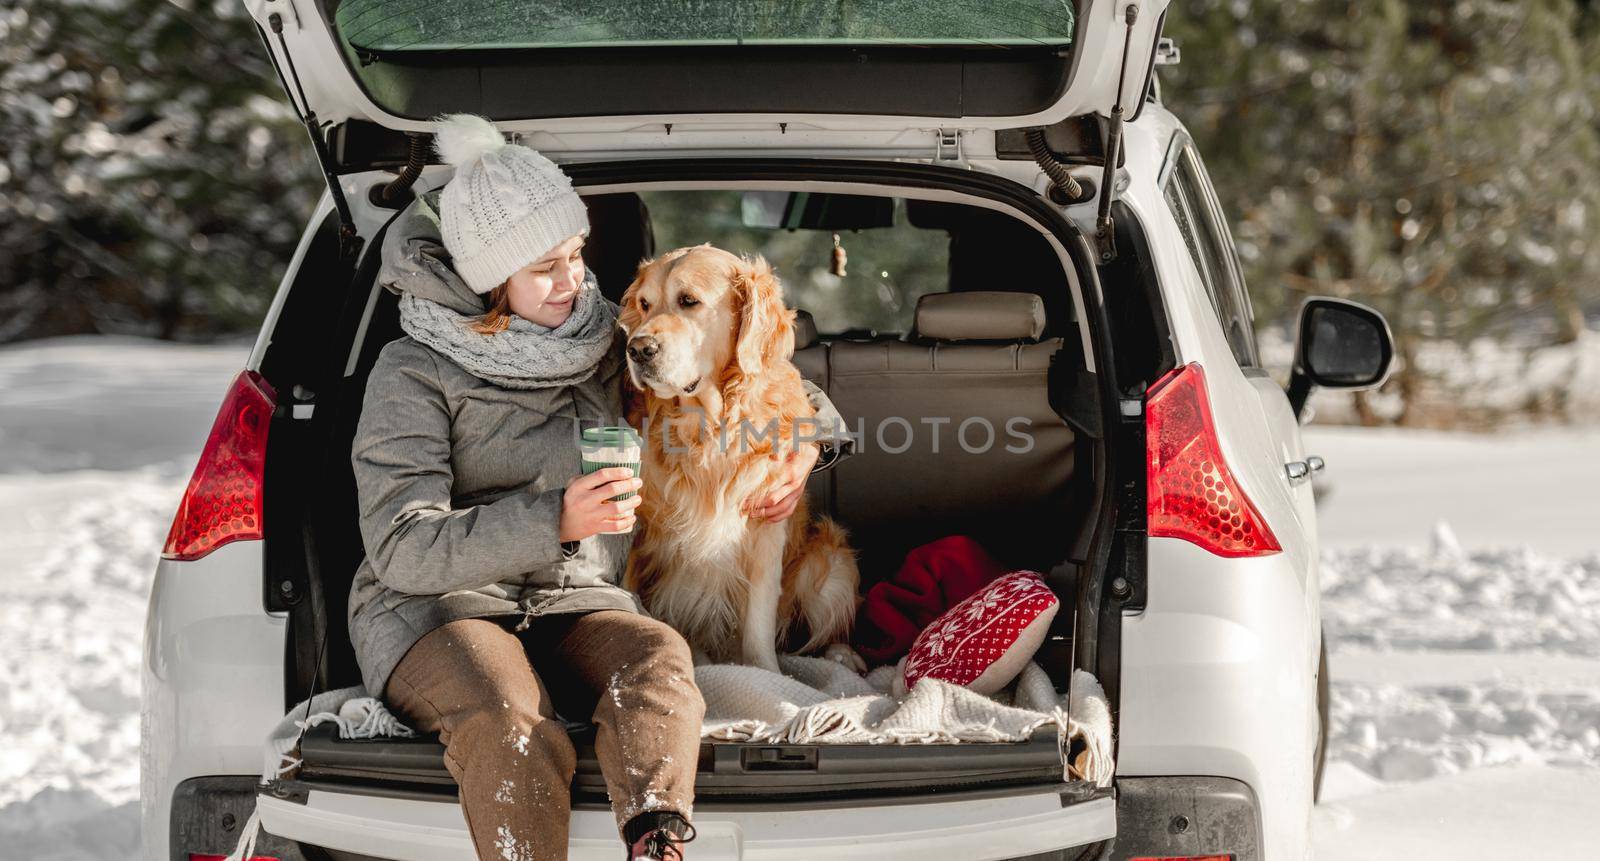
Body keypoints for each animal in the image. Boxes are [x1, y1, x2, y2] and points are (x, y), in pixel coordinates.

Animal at [617, 241, 864, 668]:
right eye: (645, 304)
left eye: (689, 301)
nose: (638, 349)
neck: (709, 425)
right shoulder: (637, 524)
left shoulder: (767, 529)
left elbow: (759, 625)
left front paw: (768, 672)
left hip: (833, 563)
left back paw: (841, 655)